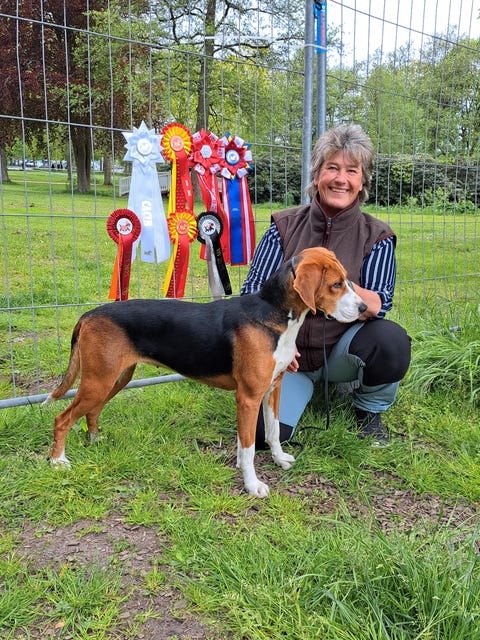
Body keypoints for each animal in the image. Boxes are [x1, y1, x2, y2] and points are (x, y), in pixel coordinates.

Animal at [44, 247, 367, 497]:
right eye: (336, 284)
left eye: (346, 281)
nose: (365, 307)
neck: (274, 315)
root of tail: (88, 314)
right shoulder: (248, 397)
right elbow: (249, 447)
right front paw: (252, 485)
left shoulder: (273, 390)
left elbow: (274, 432)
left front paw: (278, 459)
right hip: (99, 381)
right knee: (62, 418)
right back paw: (58, 461)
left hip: (114, 378)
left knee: (92, 411)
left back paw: (95, 440)